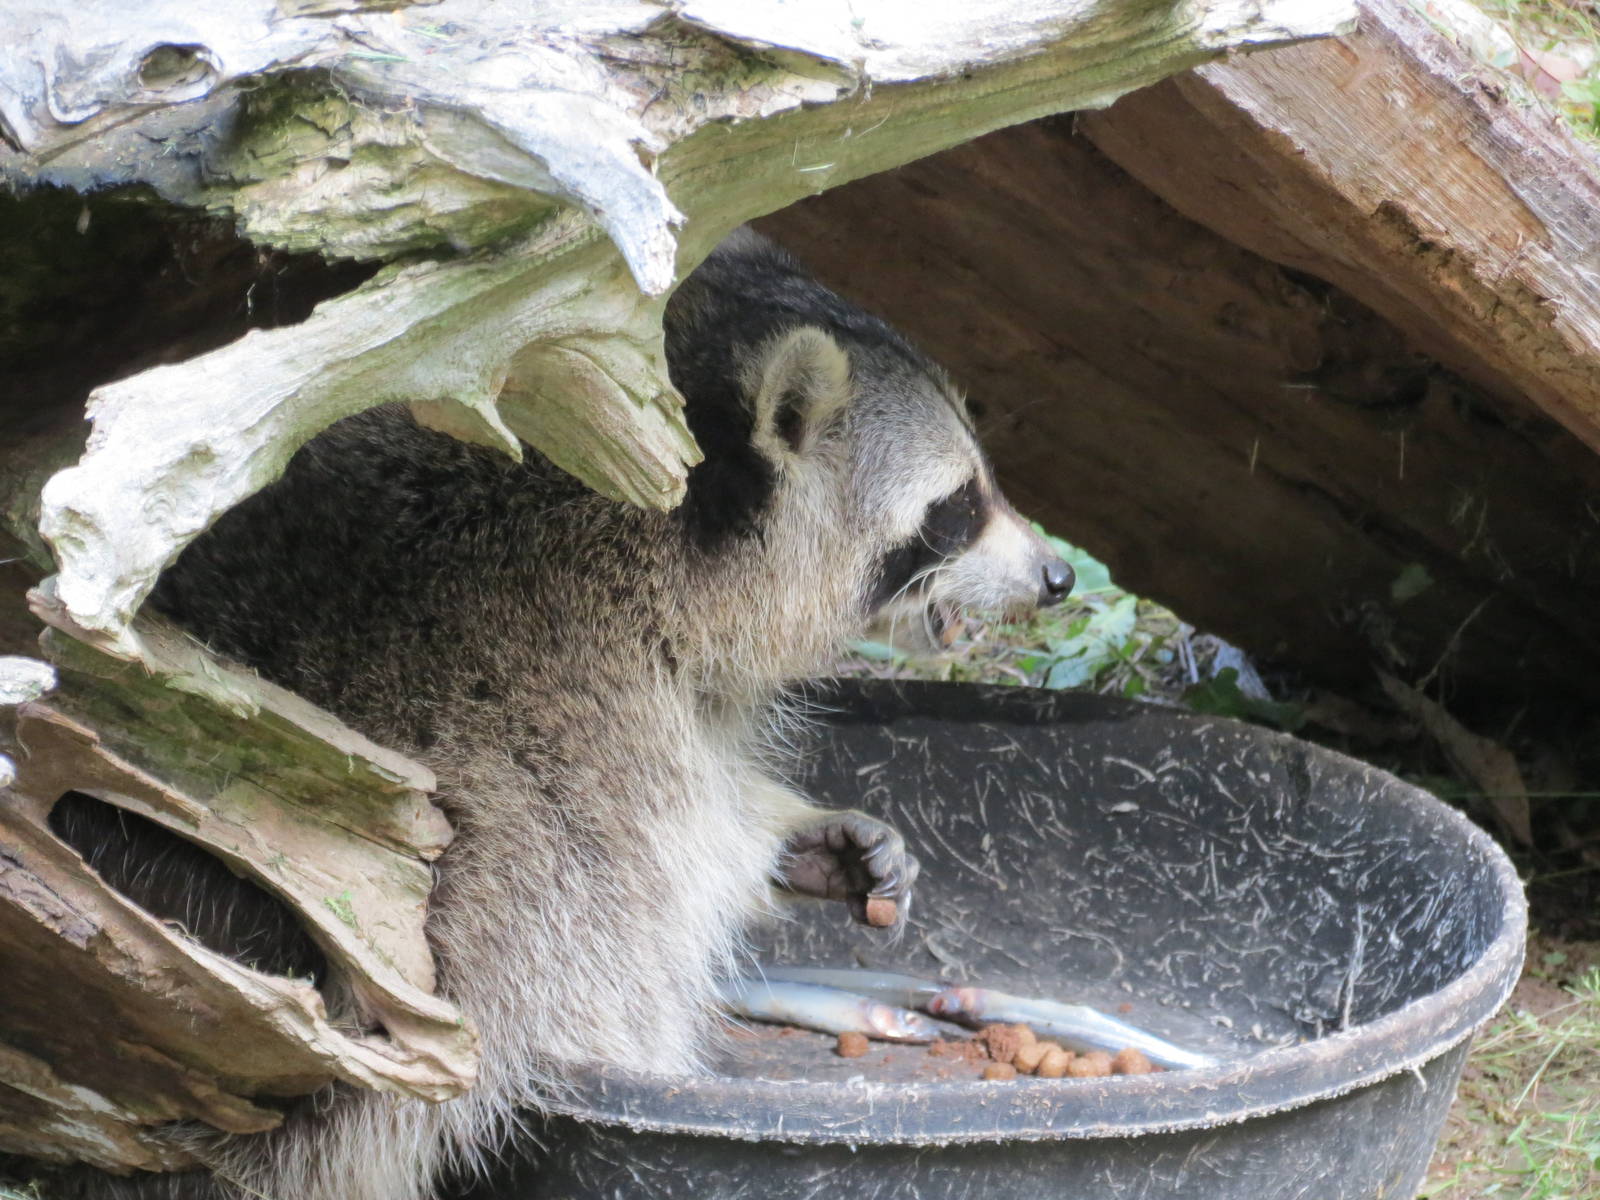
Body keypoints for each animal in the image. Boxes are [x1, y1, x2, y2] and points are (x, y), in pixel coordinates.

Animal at [43, 229, 1072, 1200]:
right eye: (958, 506)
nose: (1059, 575)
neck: (651, 531)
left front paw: (809, 838)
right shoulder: (575, 702)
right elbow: (655, 886)